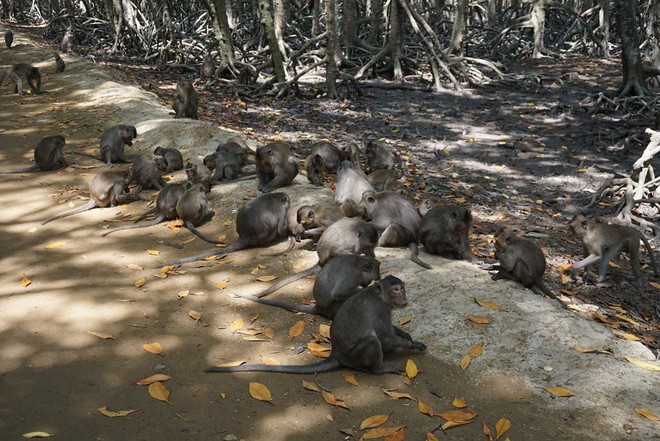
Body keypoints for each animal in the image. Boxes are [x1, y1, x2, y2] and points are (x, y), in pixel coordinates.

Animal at [157, 192, 292, 264]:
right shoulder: (282, 210)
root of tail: (245, 236)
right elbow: (281, 228)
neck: (276, 197)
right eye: (288, 200)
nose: (289, 198)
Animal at [208, 276, 428, 374]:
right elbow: (385, 338)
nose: (404, 298)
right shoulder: (380, 309)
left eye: (403, 288)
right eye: (397, 289)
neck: (379, 296)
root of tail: (336, 354)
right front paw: (413, 344)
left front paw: (405, 334)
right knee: (372, 342)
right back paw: (378, 369)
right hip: (355, 357)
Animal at [233, 253, 378, 318]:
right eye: (371, 278)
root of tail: (319, 308)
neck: (360, 263)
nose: (367, 283)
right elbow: (338, 292)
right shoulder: (353, 276)